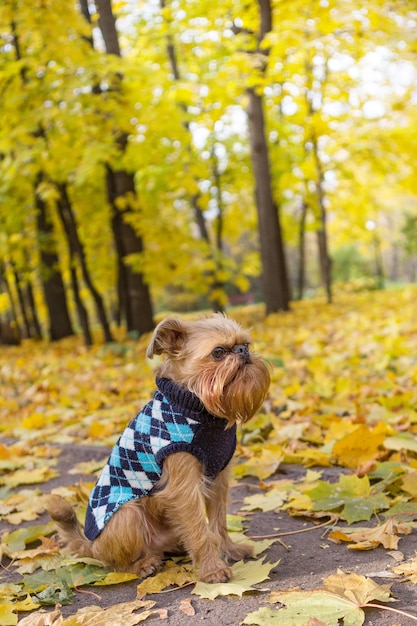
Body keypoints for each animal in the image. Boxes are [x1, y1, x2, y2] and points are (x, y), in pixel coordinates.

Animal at [48, 314, 270, 584]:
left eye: (246, 345)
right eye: (218, 352)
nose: (242, 351)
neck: (195, 405)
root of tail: (91, 545)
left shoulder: (218, 481)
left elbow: (218, 522)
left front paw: (229, 550)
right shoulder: (184, 489)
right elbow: (199, 529)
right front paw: (212, 569)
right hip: (127, 516)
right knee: (115, 564)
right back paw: (142, 565)